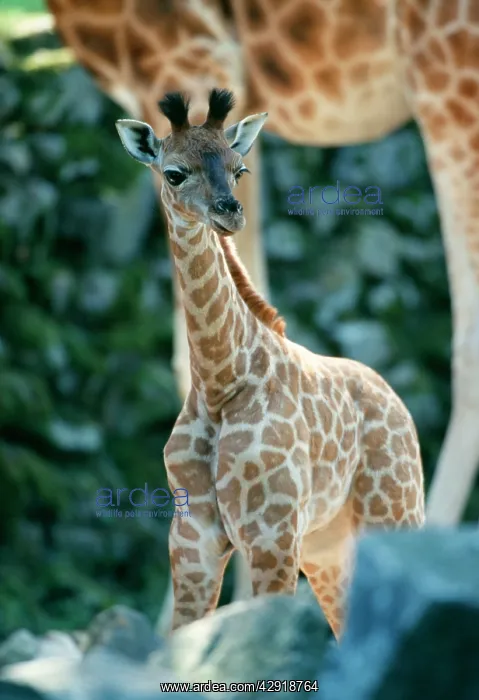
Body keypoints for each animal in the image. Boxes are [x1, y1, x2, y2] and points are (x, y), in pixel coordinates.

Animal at [115, 88, 425, 637]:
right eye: (173, 173)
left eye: (239, 169)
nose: (229, 212)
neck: (220, 382)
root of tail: (395, 401)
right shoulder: (192, 541)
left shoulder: (271, 536)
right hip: (328, 547)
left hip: (392, 510)